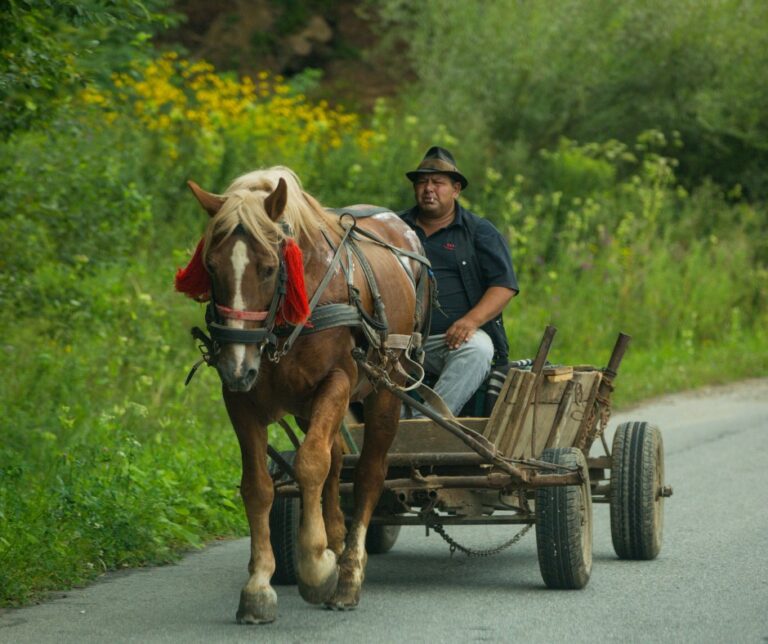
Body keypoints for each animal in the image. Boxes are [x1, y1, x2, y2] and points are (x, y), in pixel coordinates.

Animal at [175, 166, 430, 623]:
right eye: (210, 265)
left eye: (268, 267)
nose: (236, 364)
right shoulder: (239, 399)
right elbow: (259, 485)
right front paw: (259, 586)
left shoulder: (338, 381)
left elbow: (311, 464)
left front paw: (316, 566)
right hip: (309, 408)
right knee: (336, 463)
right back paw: (335, 539)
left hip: (386, 390)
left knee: (368, 473)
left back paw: (348, 574)